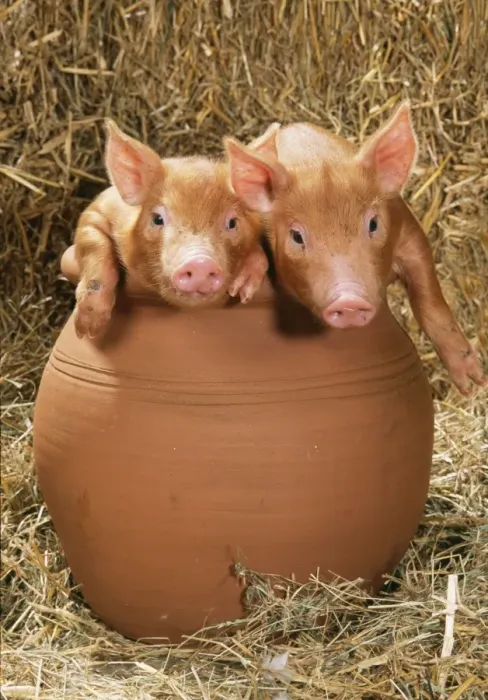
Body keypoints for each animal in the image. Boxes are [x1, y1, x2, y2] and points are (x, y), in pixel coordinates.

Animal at [73, 119, 270, 339]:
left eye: (232, 222)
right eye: (158, 219)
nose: (200, 263)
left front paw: (242, 292)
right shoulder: (97, 210)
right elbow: (94, 245)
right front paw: (87, 331)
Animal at [224, 102, 486, 396]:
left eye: (373, 223)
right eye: (297, 236)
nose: (349, 300)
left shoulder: (408, 229)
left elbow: (429, 298)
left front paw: (473, 383)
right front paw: (241, 290)